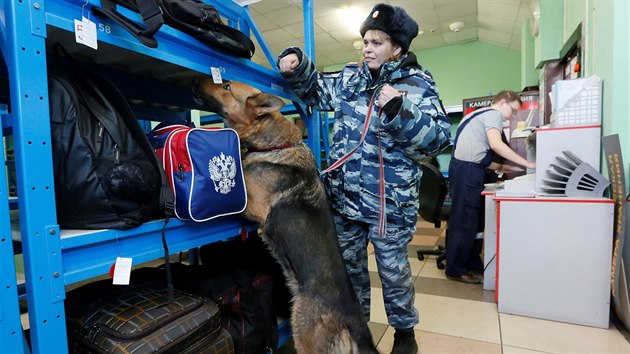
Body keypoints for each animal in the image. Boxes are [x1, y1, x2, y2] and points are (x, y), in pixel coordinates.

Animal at [194, 79, 380, 352]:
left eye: (226, 86)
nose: (196, 81)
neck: (272, 144)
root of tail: (353, 321)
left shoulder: (249, 203)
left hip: (303, 335)